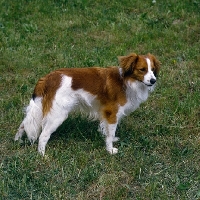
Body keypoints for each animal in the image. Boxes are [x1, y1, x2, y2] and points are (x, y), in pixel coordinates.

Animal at [14, 52, 160, 155]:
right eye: (142, 69)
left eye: (153, 69)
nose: (153, 80)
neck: (126, 81)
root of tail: (48, 77)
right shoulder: (112, 113)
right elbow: (111, 132)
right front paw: (110, 150)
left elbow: (107, 131)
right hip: (57, 115)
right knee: (43, 135)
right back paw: (42, 155)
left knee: (24, 123)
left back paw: (17, 140)